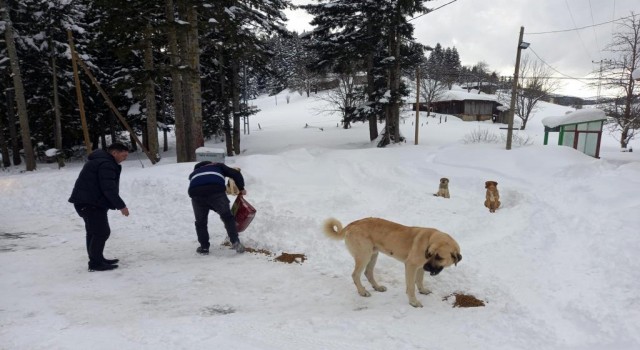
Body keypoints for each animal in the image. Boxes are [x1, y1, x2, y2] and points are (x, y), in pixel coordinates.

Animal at [324, 217, 460, 308]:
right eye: (431, 255)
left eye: (439, 257)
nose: (427, 267)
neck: (429, 240)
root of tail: (353, 223)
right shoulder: (411, 265)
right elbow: (411, 286)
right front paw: (413, 302)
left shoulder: (420, 267)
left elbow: (420, 281)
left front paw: (423, 290)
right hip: (364, 256)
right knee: (355, 275)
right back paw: (362, 292)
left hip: (373, 255)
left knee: (368, 273)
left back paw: (377, 287)